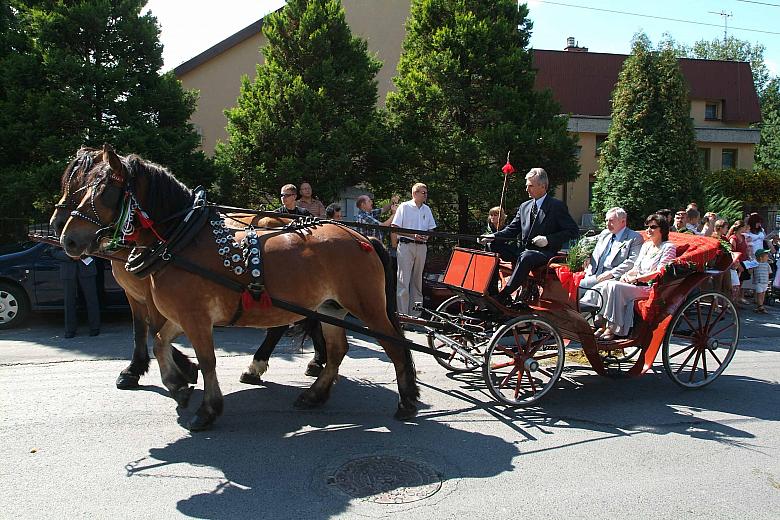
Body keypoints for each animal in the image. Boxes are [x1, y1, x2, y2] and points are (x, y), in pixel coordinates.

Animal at [61, 144, 418, 428]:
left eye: (102, 192)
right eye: (80, 187)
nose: (67, 238)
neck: (182, 237)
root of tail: (363, 237)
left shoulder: (194, 317)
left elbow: (206, 359)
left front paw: (206, 409)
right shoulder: (180, 313)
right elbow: (159, 341)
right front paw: (177, 385)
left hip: (366, 306)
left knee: (395, 345)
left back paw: (406, 402)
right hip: (330, 307)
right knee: (337, 350)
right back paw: (313, 394)